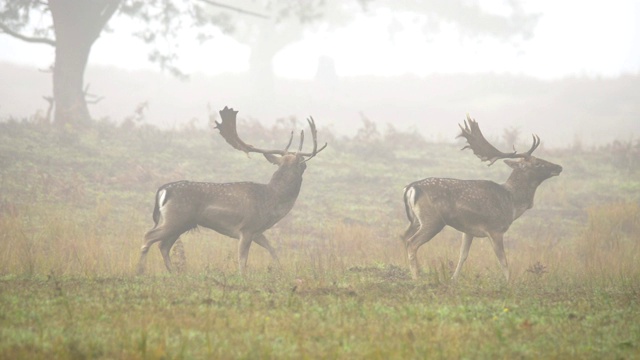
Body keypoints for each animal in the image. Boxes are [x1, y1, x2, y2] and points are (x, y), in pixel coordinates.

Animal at [135, 105, 324, 274]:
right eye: (304, 165)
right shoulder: (246, 228)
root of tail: (163, 189)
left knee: (163, 245)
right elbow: (242, 259)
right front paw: (242, 277)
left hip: (182, 223)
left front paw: (280, 271)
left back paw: (173, 273)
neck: (271, 202)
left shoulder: (257, 232)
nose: (305, 165)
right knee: (148, 236)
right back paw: (140, 271)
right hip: (176, 218)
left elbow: (272, 250)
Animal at [402, 115, 564, 282]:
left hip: (415, 220)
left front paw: (453, 280)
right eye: (537, 163)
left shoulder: (468, 230)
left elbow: (463, 256)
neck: (512, 203)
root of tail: (411, 187)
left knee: (403, 237)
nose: (558, 167)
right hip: (433, 220)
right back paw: (416, 278)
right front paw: (509, 283)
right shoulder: (495, 229)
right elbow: (503, 261)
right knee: (411, 243)